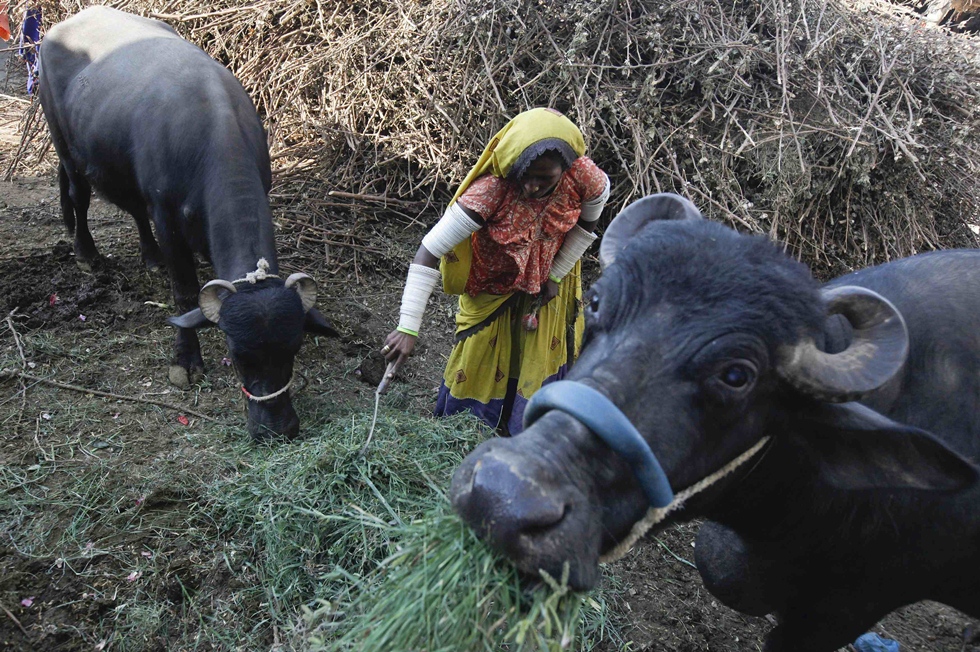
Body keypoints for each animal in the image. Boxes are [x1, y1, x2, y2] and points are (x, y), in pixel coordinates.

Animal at [39, 5, 336, 440]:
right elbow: (183, 293)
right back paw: (86, 253)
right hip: (65, 147)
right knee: (78, 196)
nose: (277, 428)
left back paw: (150, 257)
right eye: (236, 352)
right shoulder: (168, 220)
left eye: (293, 347)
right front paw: (185, 359)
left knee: (133, 208)